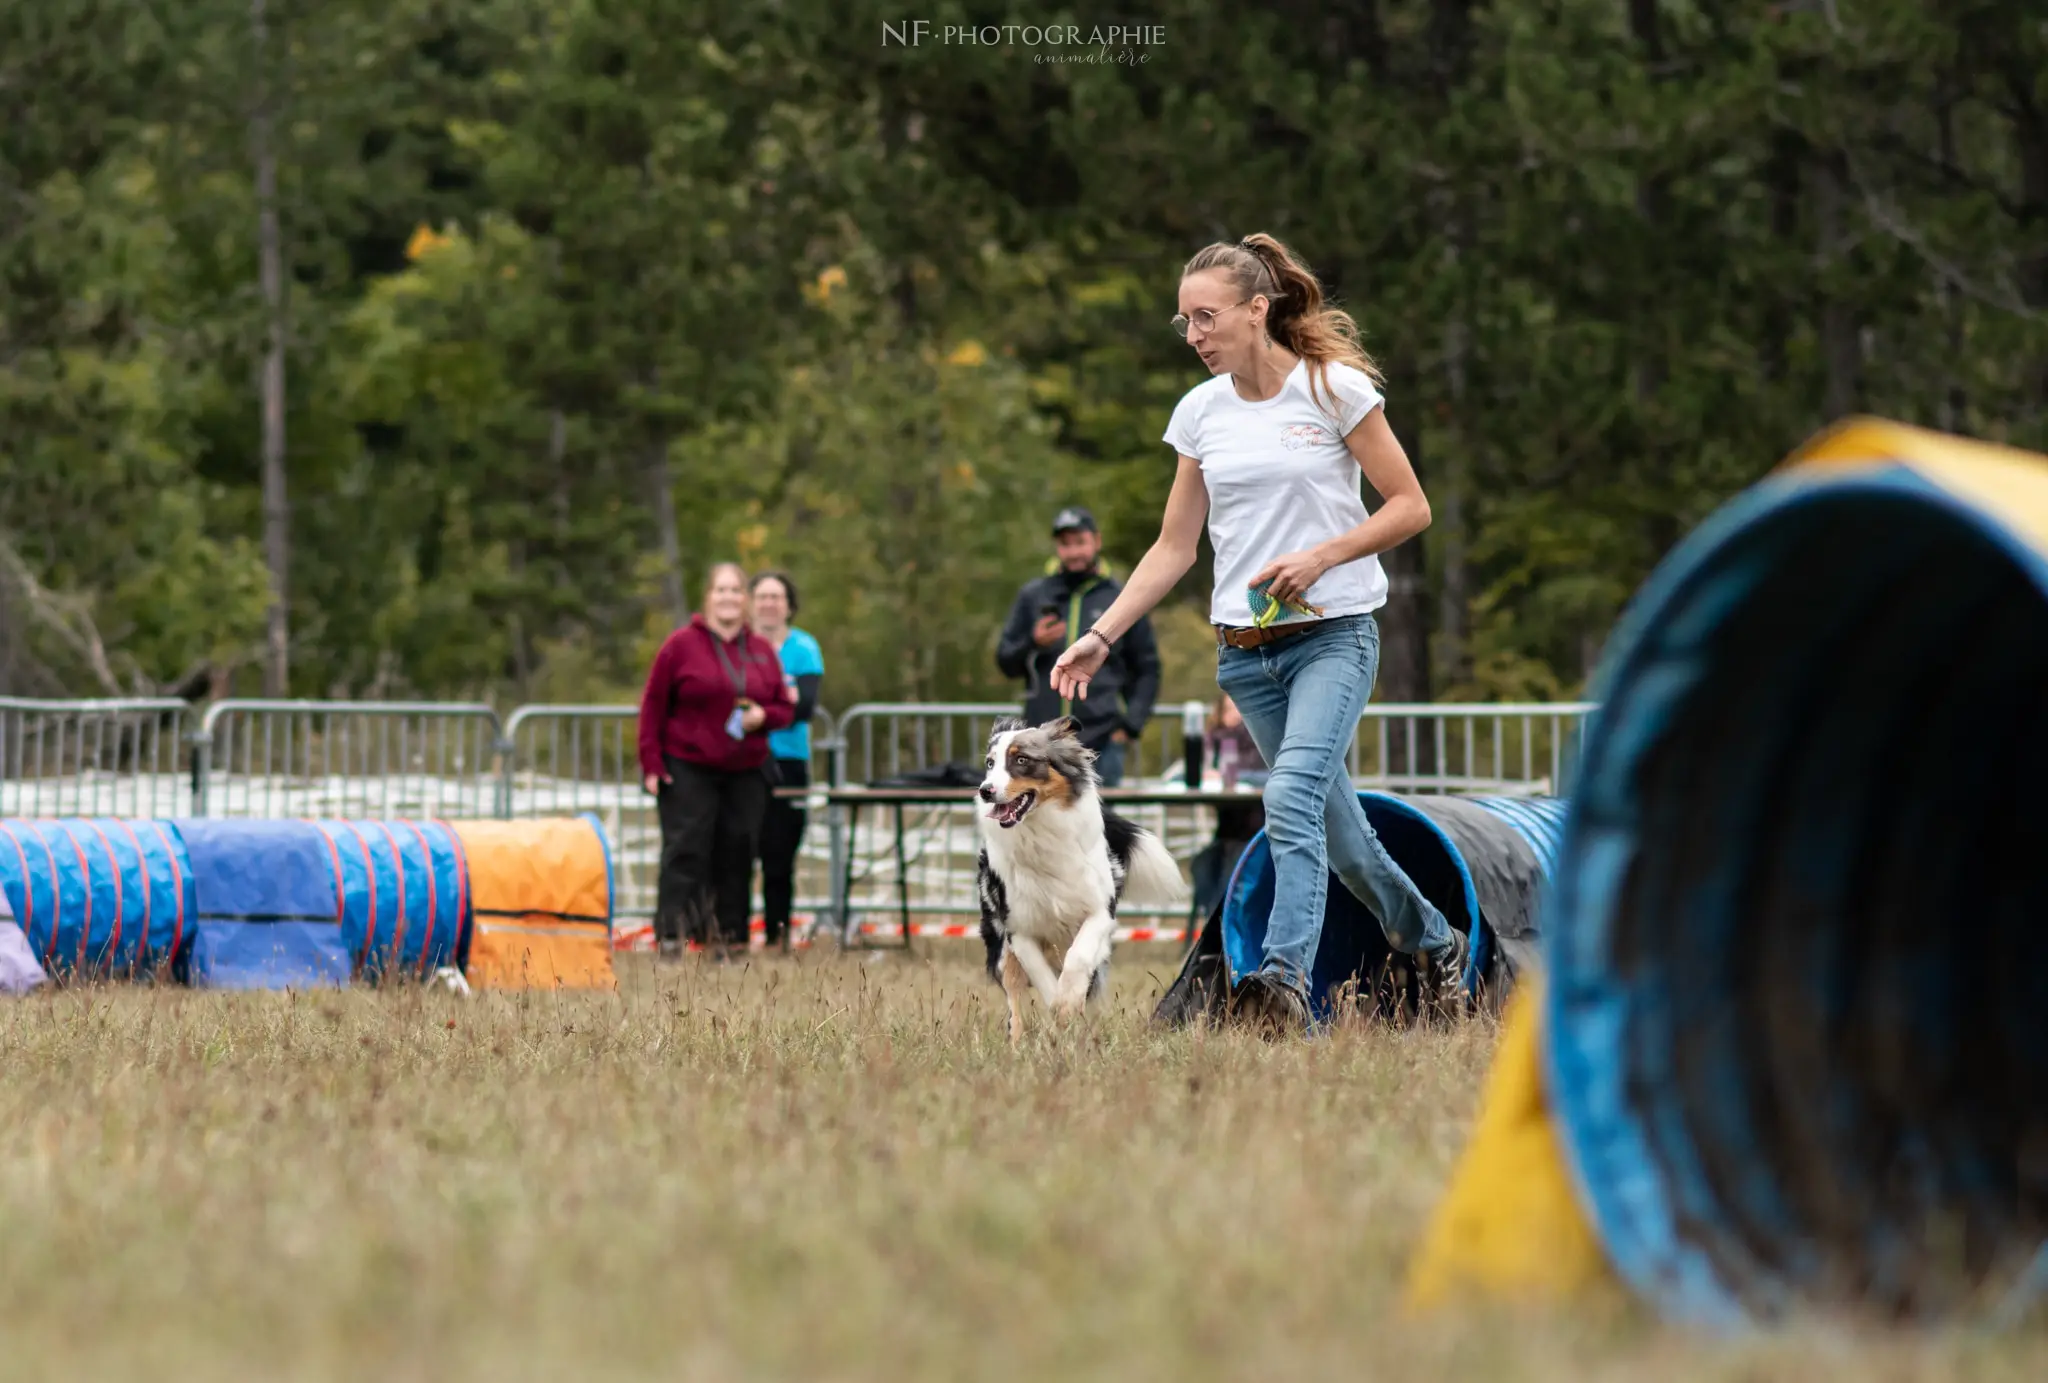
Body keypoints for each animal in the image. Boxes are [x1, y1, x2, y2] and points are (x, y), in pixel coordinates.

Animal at [970, 721, 1187, 1044]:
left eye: (1021, 760)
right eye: (990, 763)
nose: (986, 791)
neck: (1040, 832)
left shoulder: (1099, 912)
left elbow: (1079, 957)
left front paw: (1069, 1002)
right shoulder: (1018, 927)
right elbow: (1041, 976)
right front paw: (1059, 1008)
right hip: (999, 948)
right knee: (1016, 1000)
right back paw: (1020, 1043)